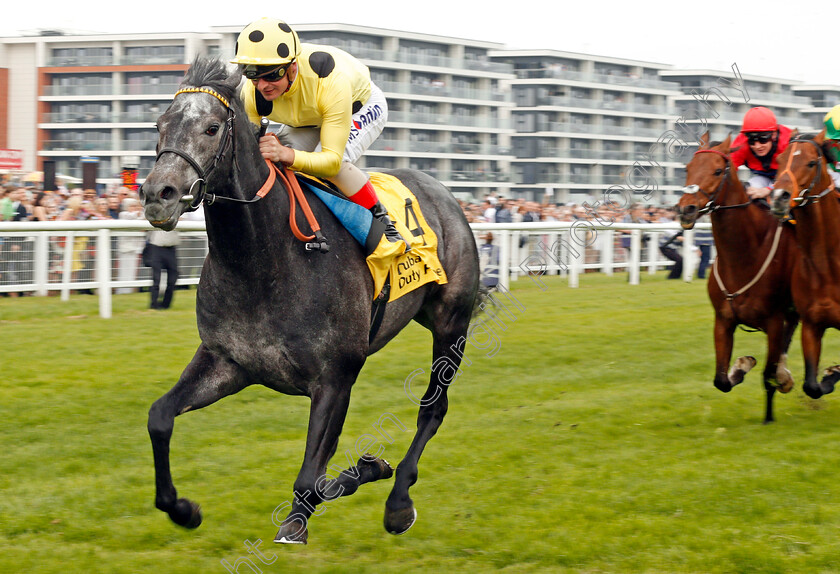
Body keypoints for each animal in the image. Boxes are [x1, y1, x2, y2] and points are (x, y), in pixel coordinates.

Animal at [676, 133, 800, 426]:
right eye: (687, 169)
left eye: (717, 171)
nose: (686, 209)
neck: (744, 253)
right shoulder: (723, 319)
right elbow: (721, 380)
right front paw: (742, 365)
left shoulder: (774, 321)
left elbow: (767, 376)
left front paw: (768, 418)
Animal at [772, 130, 840, 400]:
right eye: (780, 160)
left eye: (811, 163)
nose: (778, 198)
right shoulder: (811, 325)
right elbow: (811, 386)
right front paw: (830, 374)